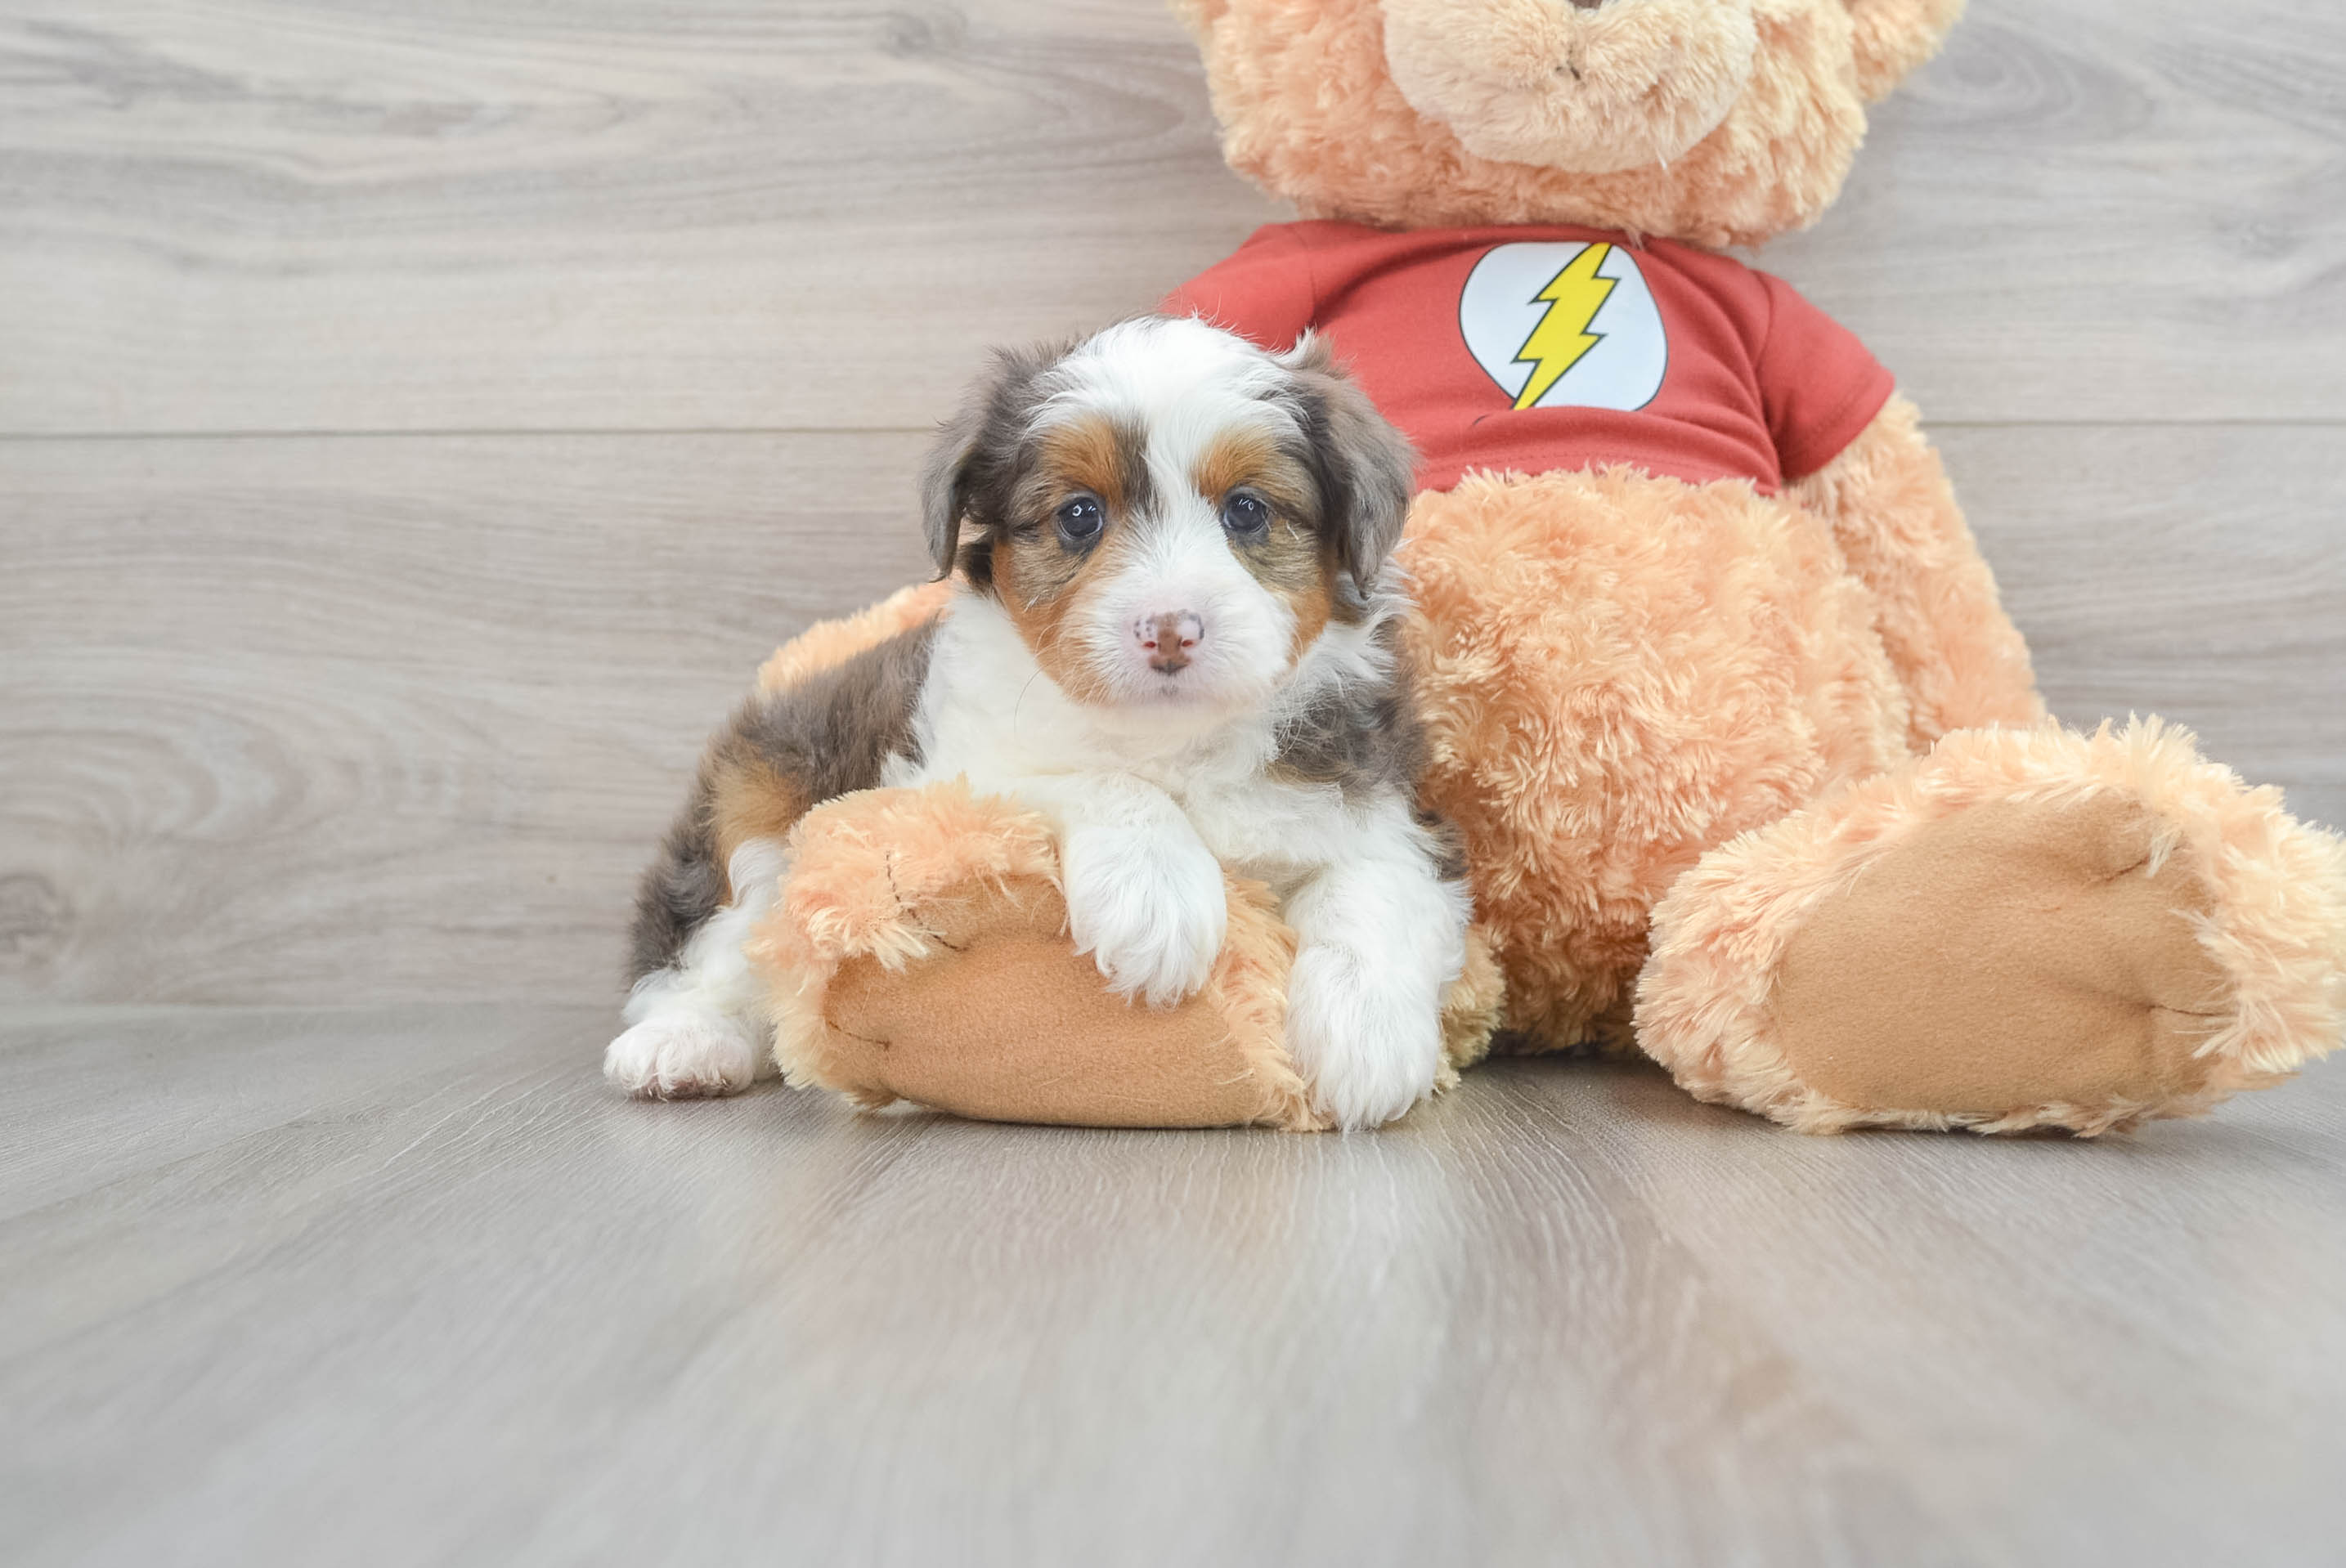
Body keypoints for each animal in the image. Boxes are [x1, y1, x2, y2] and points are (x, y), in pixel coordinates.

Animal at [614, 314, 1473, 1125]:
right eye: (1080, 516)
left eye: (1247, 510)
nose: (1170, 630)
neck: (1173, 739)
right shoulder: (946, 777)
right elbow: (1091, 780)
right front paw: (1155, 896)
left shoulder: (1381, 804)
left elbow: (1374, 883)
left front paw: (1368, 1035)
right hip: (758, 813)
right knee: (713, 955)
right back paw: (682, 1046)